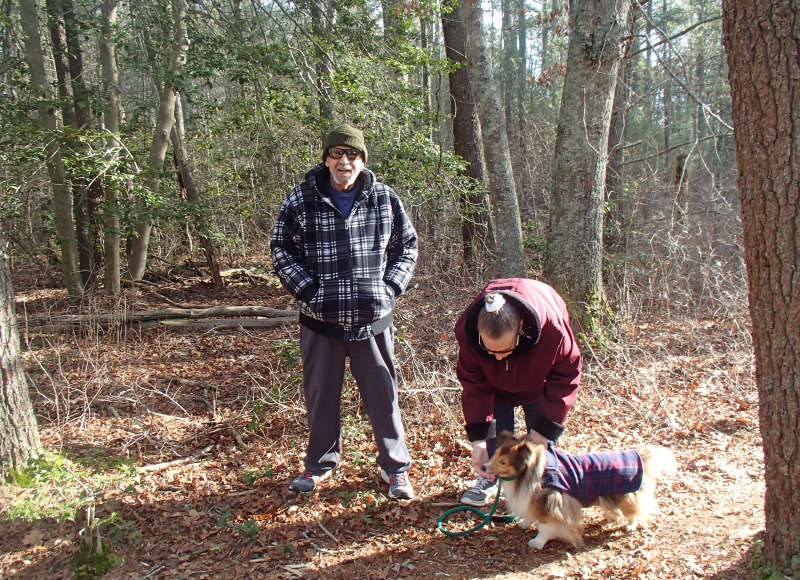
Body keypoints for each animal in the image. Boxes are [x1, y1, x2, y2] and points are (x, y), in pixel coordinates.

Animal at [488, 432, 676, 552]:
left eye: (503, 462)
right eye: (495, 454)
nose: (484, 467)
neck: (529, 473)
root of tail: (638, 456)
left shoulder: (551, 504)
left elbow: (545, 526)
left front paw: (537, 542)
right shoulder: (532, 499)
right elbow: (529, 514)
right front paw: (524, 523)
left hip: (624, 495)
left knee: (635, 510)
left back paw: (630, 525)